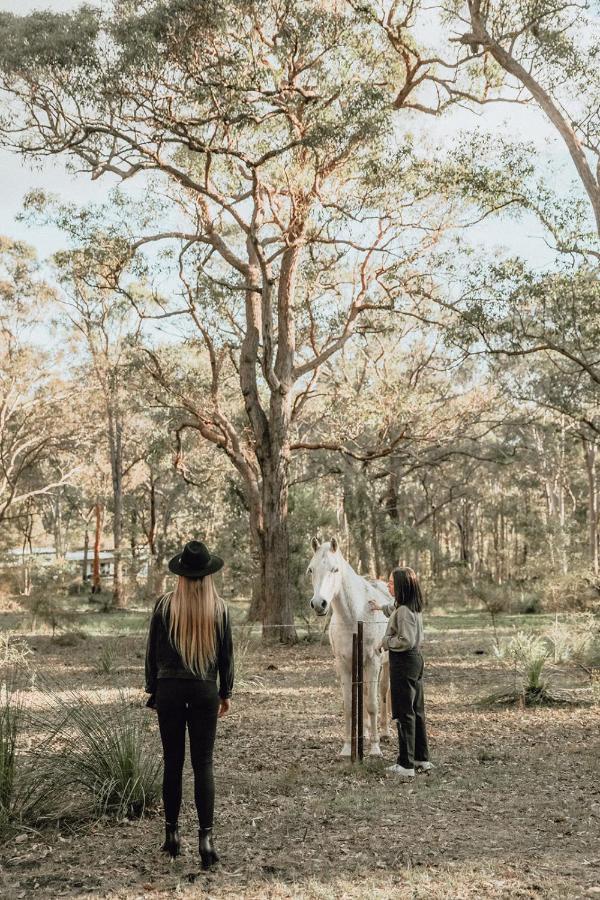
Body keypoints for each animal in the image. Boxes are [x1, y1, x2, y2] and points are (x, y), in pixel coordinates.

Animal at [308, 536, 392, 756]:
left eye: (335, 569)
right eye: (310, 570)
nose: (319, 604)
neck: (355, 616)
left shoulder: (373, 661)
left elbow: (372, 704)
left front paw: (375, 749)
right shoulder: (344, 664)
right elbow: (349, 706)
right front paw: (347, 748)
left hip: (386, 664)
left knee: (383, 693)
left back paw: (385, 732)